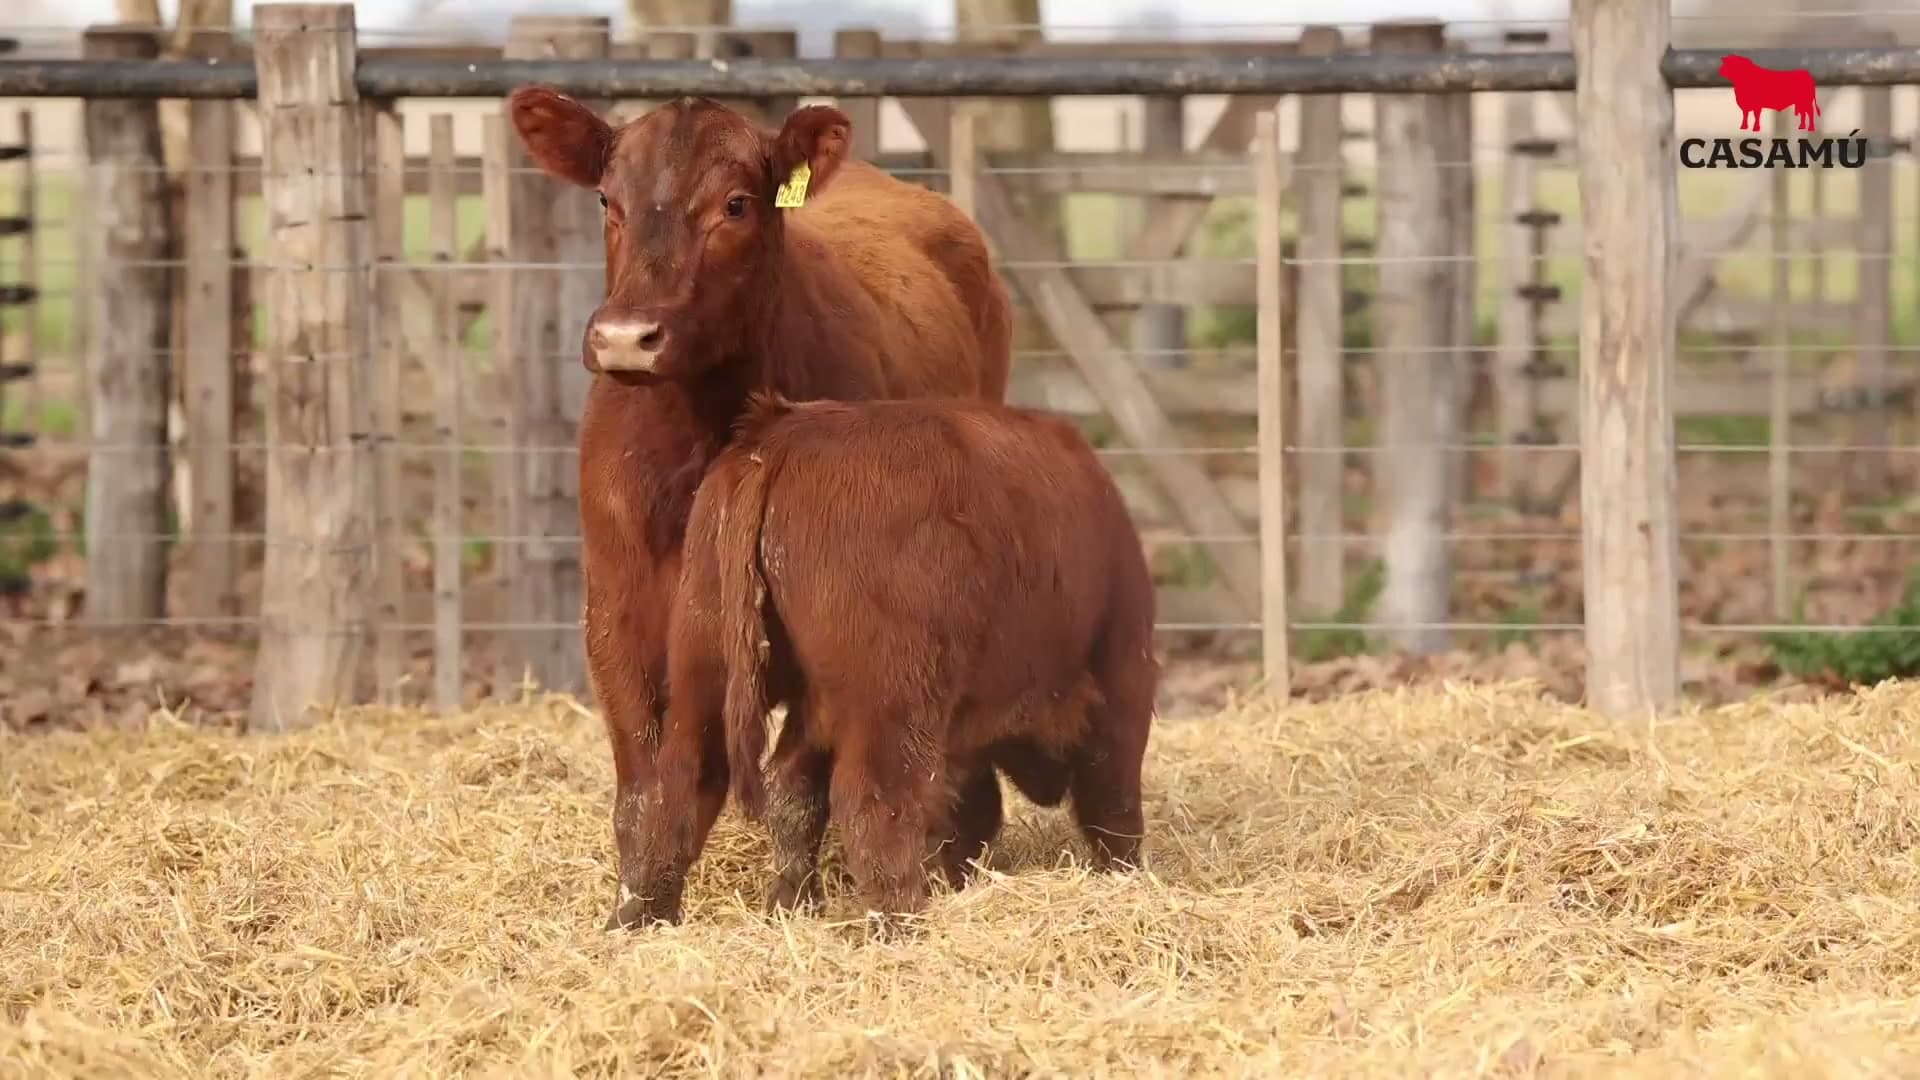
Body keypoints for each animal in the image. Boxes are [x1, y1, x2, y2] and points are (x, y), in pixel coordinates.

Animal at [504, 89, 1018, 931]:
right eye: (608, 200)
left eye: (735, 204)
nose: (626, 338)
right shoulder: (617, 619)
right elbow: (645, 789)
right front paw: (637, 909)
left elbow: (792, 785)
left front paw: (789, 900)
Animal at [624, 393, 1159, 929]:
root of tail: (775, 441)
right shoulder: (1121, 673)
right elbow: (1112, 793)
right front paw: (1124, 871)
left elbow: (797, 791)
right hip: (892, 706)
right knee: (873, 799)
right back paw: (903, 917)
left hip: (704, 675)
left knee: (685, 782)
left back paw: (645, 915)